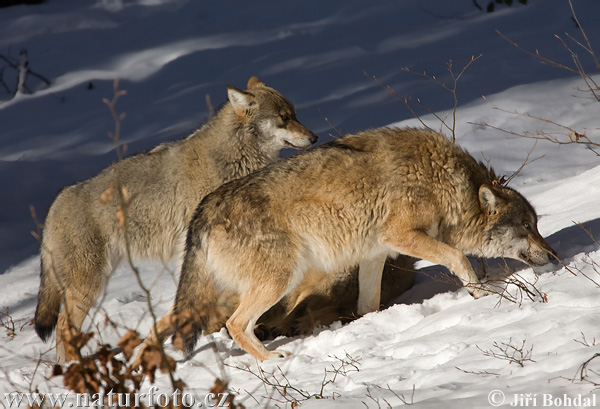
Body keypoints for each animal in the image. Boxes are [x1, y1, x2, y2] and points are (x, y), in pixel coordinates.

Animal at [33, 75, 318, 362]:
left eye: (294, 115)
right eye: (284, 118)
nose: (314, 137)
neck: (232, 156)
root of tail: (56, 202)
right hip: (88, 287)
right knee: (64, 327)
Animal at [173, 127, 556, 360]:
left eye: (536, 224)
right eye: (526, 226)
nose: (553, 254)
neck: (447, 183)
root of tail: (203, 210)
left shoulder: (374, 254)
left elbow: (369, 305)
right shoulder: (402, 236)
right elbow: (459, 258)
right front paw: (484, 294)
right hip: (280, 281)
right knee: (236, 324)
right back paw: (272, 358)